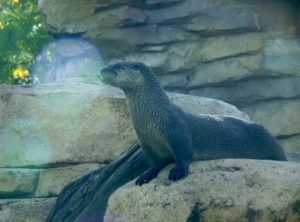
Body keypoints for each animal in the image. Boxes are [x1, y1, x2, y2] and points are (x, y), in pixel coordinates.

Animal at [98, 62, 286, 186]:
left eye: (118, 66)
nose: (102, 69)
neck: (152, 120)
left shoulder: (176, 130)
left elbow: (184, 153)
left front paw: (177, 171)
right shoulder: (146, 142)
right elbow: (155, 162)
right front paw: (146, 175)